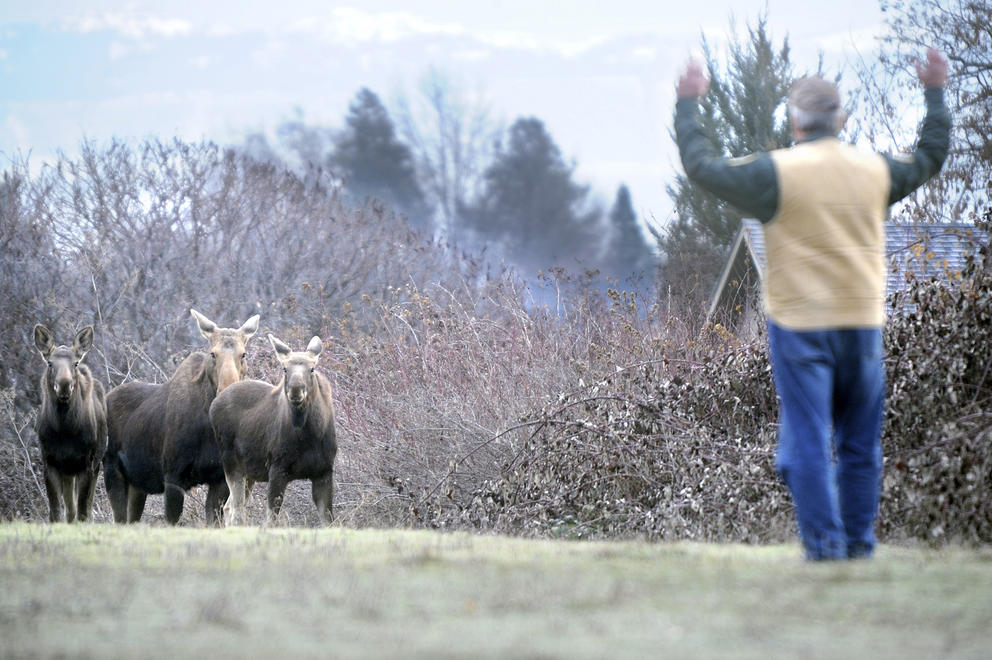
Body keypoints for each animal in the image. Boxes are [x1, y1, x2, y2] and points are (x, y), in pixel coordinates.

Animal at [33, 324, 108, 520]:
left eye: (75, 363)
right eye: (50, 363)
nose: (64, 386)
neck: (64, 430)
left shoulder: (86, 464)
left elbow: (83, 510)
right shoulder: (50, 462)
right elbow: (56, 511)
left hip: (96, 464)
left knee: (84, 508)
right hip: (67, 471)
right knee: (70, 509)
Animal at [103, 310, 260, 524]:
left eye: (243, 354)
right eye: (213, 353)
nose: (227, 389)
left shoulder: (219, 479)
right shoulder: (173, 477)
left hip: (137, 484)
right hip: (111, 469)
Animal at [209, 336, 338, 524]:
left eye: (312, 368)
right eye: (285, 368)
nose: (296, 390)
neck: (310, 436)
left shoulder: (324, 472)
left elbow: (329, 520)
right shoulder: (277, 469)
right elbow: (270, 520)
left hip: (249, 472)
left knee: (228, 507)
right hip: (231, 463)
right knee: (236, 510)